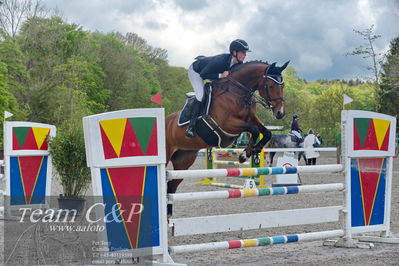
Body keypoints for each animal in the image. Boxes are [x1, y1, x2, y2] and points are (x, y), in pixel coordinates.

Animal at [164, 61, 290, 215]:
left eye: (283, 86)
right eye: (271, 86)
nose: (280, 113)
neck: (238, 93)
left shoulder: (251, 118)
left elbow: (266, 133)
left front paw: (252, 151)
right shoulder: (228, 124)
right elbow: (253, 130)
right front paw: (244, 155)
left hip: (184, 160)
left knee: (171, 185)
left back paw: (168, 213)